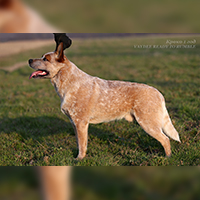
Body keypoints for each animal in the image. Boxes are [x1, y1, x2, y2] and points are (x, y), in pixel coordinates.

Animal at [28, 38, 181, 159]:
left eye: (45, 59)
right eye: (41, 56)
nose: (29, 60)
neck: (67, 81)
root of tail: (158, 93)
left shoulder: (81, 123)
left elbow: (82, 145)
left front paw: (79, 159)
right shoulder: (74, 123)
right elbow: (79, 143)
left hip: (148, 123)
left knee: (166, 139)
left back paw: (167, 158)